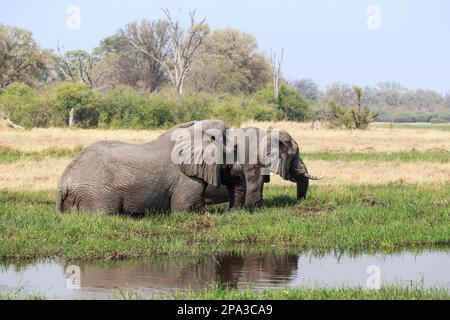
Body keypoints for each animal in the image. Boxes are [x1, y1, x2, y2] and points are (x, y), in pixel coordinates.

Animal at [55, 120, 253, 215]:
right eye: (235, 149)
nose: (233, 213)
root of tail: (64, 182)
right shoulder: (186, 179)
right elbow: (186, 210)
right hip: (96, 194)